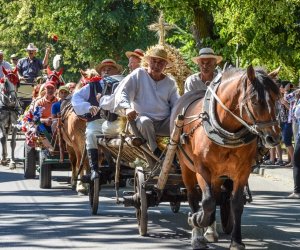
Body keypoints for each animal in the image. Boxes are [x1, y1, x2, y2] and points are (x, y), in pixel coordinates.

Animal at [171, 65, 282, 249]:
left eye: (276, 99)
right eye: (255, 101)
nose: (274, 138)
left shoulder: (243, 170)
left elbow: (235, 203)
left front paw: (236, 241)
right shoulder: (201, 168)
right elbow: (206, 201)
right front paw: (197, 220)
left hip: (219, 174)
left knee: (216, 195)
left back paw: (210, 231)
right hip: (186, 166)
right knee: (193, 196)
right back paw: (198, 234)